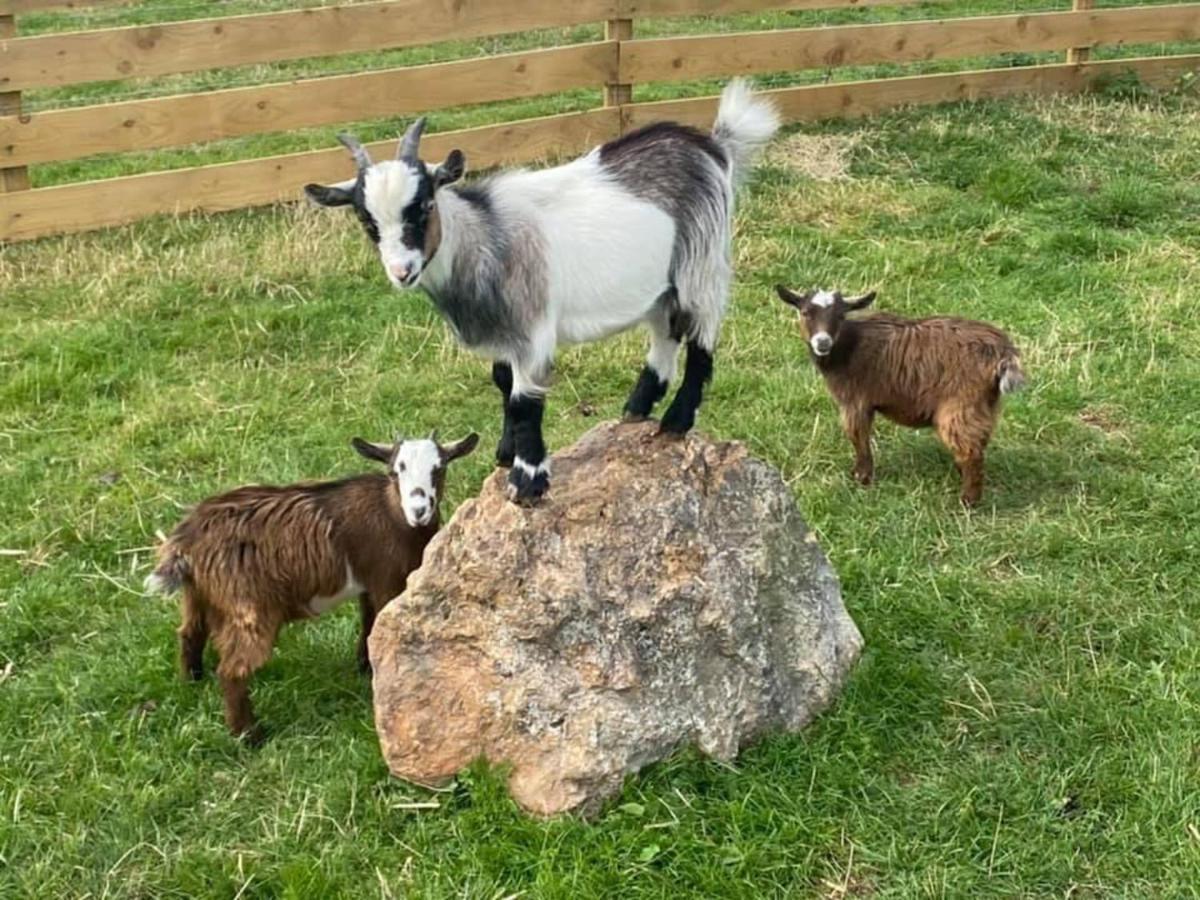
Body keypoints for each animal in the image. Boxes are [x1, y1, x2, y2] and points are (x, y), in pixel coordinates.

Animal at [142, 434, 475, 744]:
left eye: (439, 468)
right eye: (395, 471)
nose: (419, 510)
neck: (394, 515)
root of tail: (188, 540)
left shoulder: (369, 584)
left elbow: (368, 625)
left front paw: (364, 669)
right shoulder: (387, 579)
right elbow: (379, 627)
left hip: (198, 595)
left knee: (190, 634)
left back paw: (192, 684)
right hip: (249, 607)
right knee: (233, 670)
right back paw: (249, 736)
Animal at [304, 78, 782, 508]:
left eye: (424, 205)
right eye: (366, 220)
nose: (402, 271)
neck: (486, 238)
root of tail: (711, 146)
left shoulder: (532, 327)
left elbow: (524, 402)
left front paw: (527, 481)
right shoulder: (505, 329)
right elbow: (502, 382)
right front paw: (505, 453)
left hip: (701, 262)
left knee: (702, 338)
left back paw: (677, 420)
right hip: (660, 283)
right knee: (665, 333)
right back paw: (638, 405)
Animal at [777, 286, 1022, 508]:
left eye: (840, 315)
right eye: (805, 312)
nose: (823, 342)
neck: (849, 346)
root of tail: (1003, 353)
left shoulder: (855, 401)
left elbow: (858, 437)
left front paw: (861, 478)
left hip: (960, 405)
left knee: (971, 451)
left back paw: (967, 502)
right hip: (986, 405)